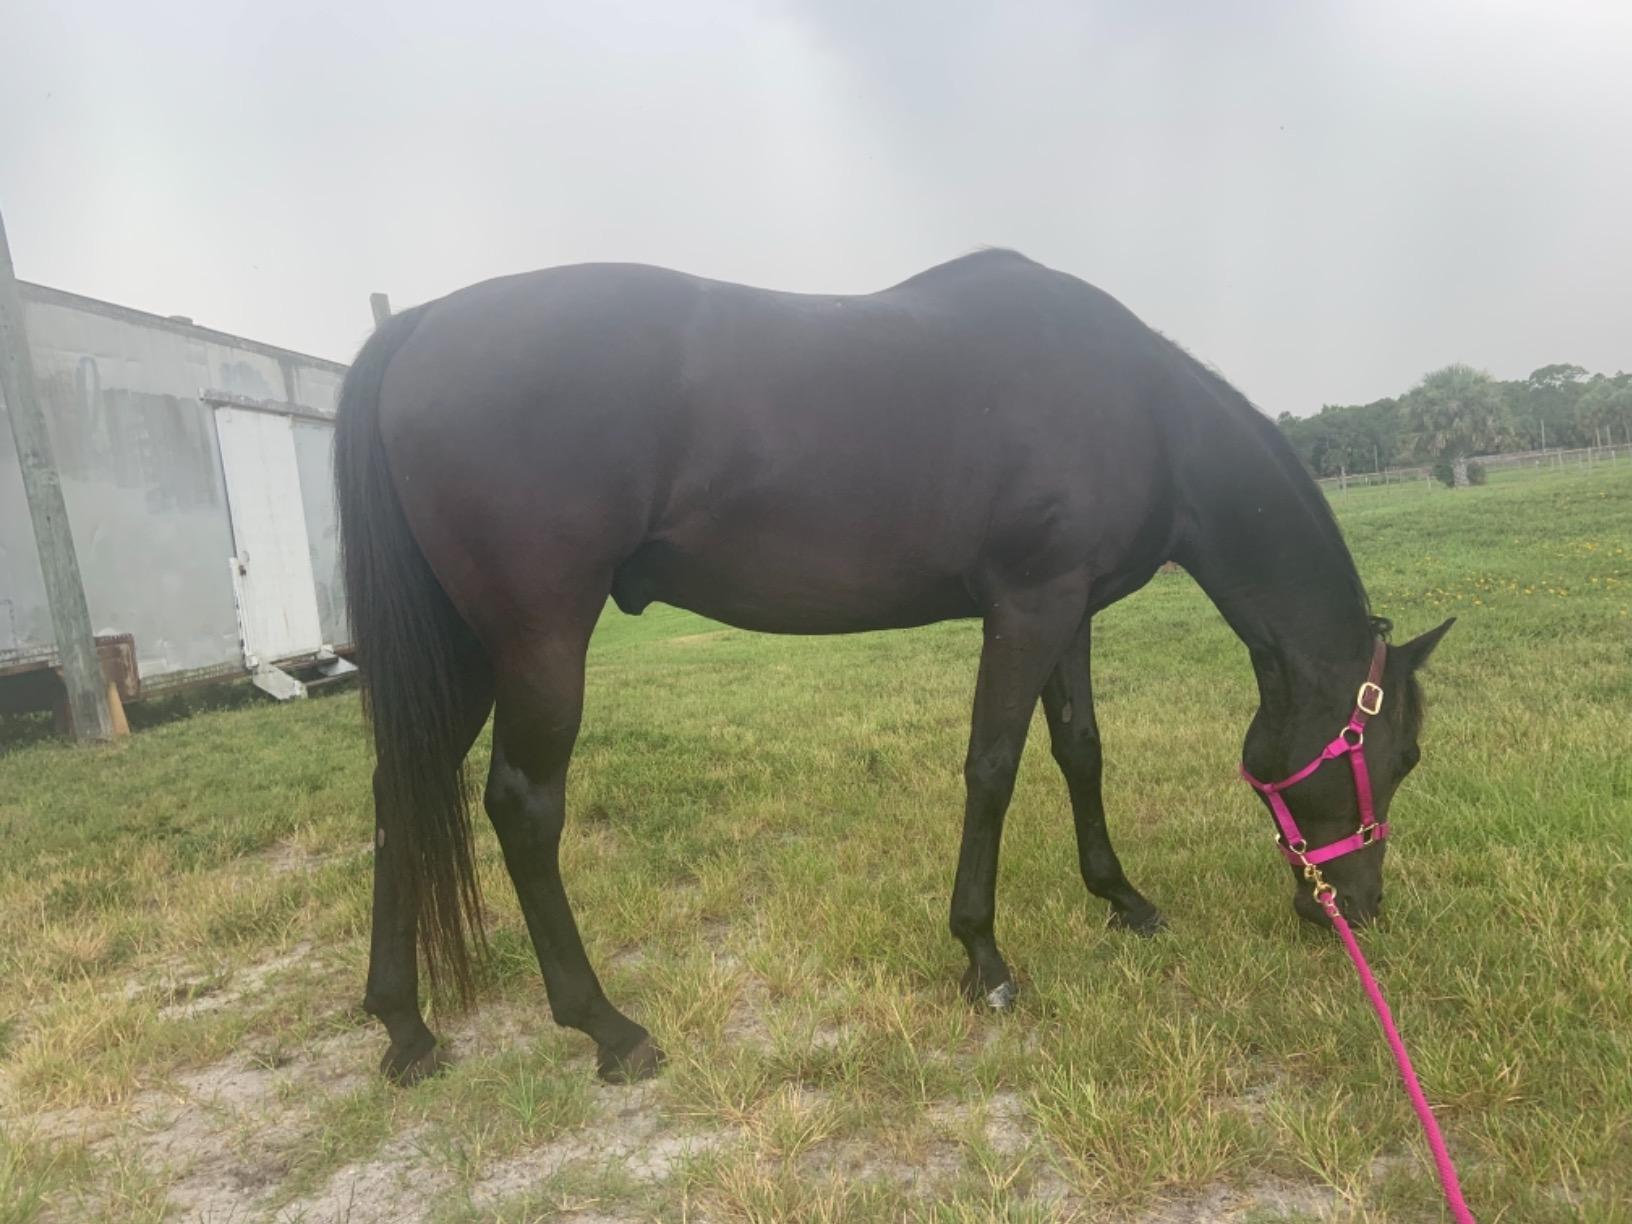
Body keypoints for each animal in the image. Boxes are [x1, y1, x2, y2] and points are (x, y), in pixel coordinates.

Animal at [335, 249, 1452, 1085]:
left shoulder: (1069, 610)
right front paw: (984, 957)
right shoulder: (1027, 607)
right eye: (1399, 756)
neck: (1140, 406)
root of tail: (419, 325)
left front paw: (1122, 900)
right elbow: (993, 769)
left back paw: (405, 1027)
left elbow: (1080, 750)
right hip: (539, 641)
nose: (1353, 908)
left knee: (401, 787)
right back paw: (607, 1026)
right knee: (522, 808)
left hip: (462, 651)